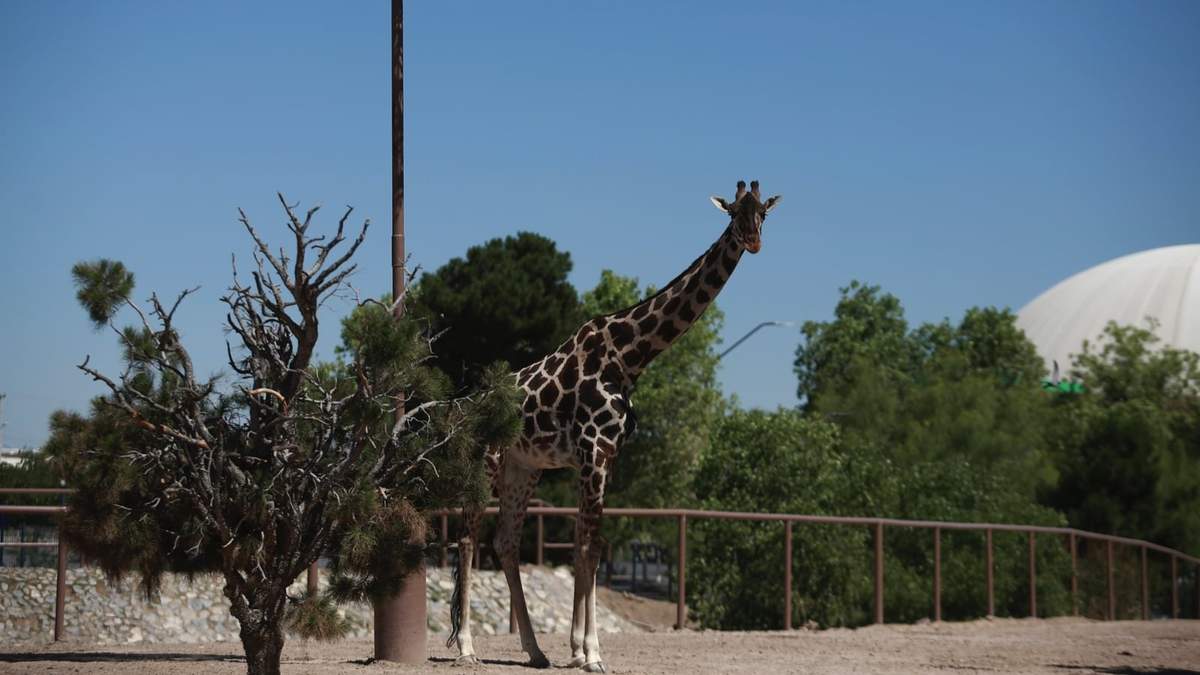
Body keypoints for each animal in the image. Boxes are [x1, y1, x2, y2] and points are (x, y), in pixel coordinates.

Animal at [448, 180, 782, 672]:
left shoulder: (606, 456)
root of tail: (467, 409)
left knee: (505, 541)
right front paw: (590, 653)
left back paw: (535, 650)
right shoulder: (592, 451)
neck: (629, 357)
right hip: (485, 459)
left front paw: (576, 649)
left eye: (764, 214)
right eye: (733, 213)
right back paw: (468, 648)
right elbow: (589, 545)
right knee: (468, 537)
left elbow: (593, 545)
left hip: (523, 469)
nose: (753, 242)